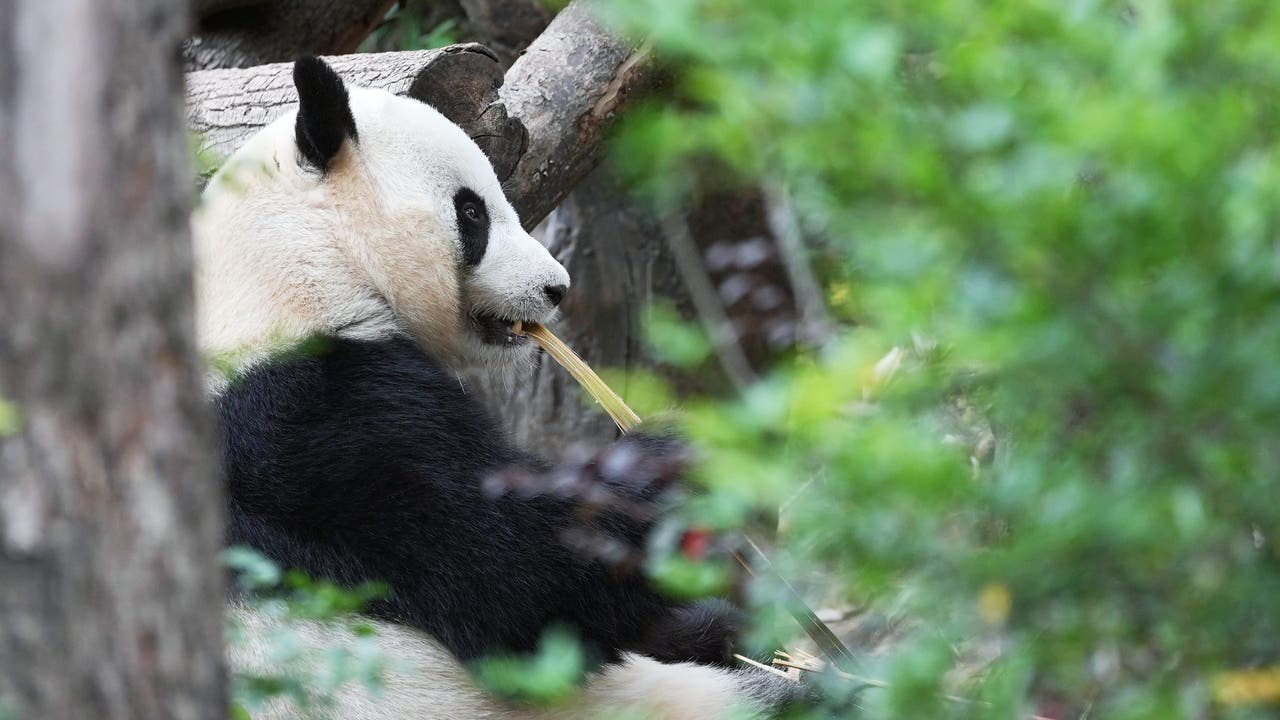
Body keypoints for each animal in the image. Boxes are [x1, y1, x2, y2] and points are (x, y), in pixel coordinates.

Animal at [195, 56, 804, 719]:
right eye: (473, 213)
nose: (556, 288)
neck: (292, 262)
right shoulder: (315, 426)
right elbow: (518, 581)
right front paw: (671, 461)